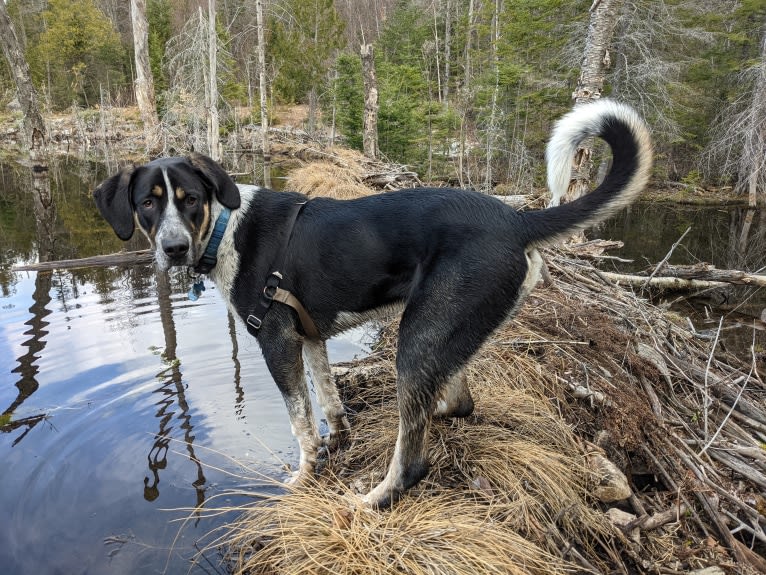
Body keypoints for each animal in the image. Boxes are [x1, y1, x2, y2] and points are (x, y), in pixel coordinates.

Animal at [93, 100, 652, 508]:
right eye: (147, 203)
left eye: (189, 199)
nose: (172, 249)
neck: (225, 229)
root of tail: (517, 221)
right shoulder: (309, 337)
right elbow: (328, 404)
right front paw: (337, 441)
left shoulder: (276, 342)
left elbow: (300, 423)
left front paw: (303, 478)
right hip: (447, 330)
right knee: (454, 402)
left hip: (418, 333)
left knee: (414, 460)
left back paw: (374, 498)